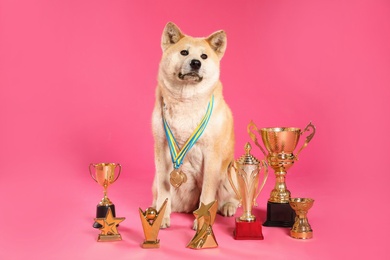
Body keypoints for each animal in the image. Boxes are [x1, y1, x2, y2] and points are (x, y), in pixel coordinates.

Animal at [152, 22, 238, 230]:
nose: (195, 63)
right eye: (184, 52)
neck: (186, 100)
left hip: (230, 172)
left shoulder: (211, 155)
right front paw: (162, 217)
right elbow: (164, 192)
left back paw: (228, 206)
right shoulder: (161, 149)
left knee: (232, 199)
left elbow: (207, 193)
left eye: (204, 56)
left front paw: (202, 225)